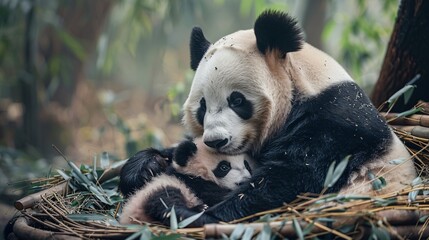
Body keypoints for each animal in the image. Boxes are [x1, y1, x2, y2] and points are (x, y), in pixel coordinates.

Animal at [118, 138, 254, 226]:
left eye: (247, 165)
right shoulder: (194, 183)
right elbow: (218, 196)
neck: (194, 173)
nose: (244, 181)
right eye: (224, 167)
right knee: (169, 208)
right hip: (157, 191)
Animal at [182, 9, 416, 223]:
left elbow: (291, 178)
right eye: (202, 106)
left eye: (237, 100)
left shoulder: (335, 123)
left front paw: (203, 215)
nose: (216, 141)